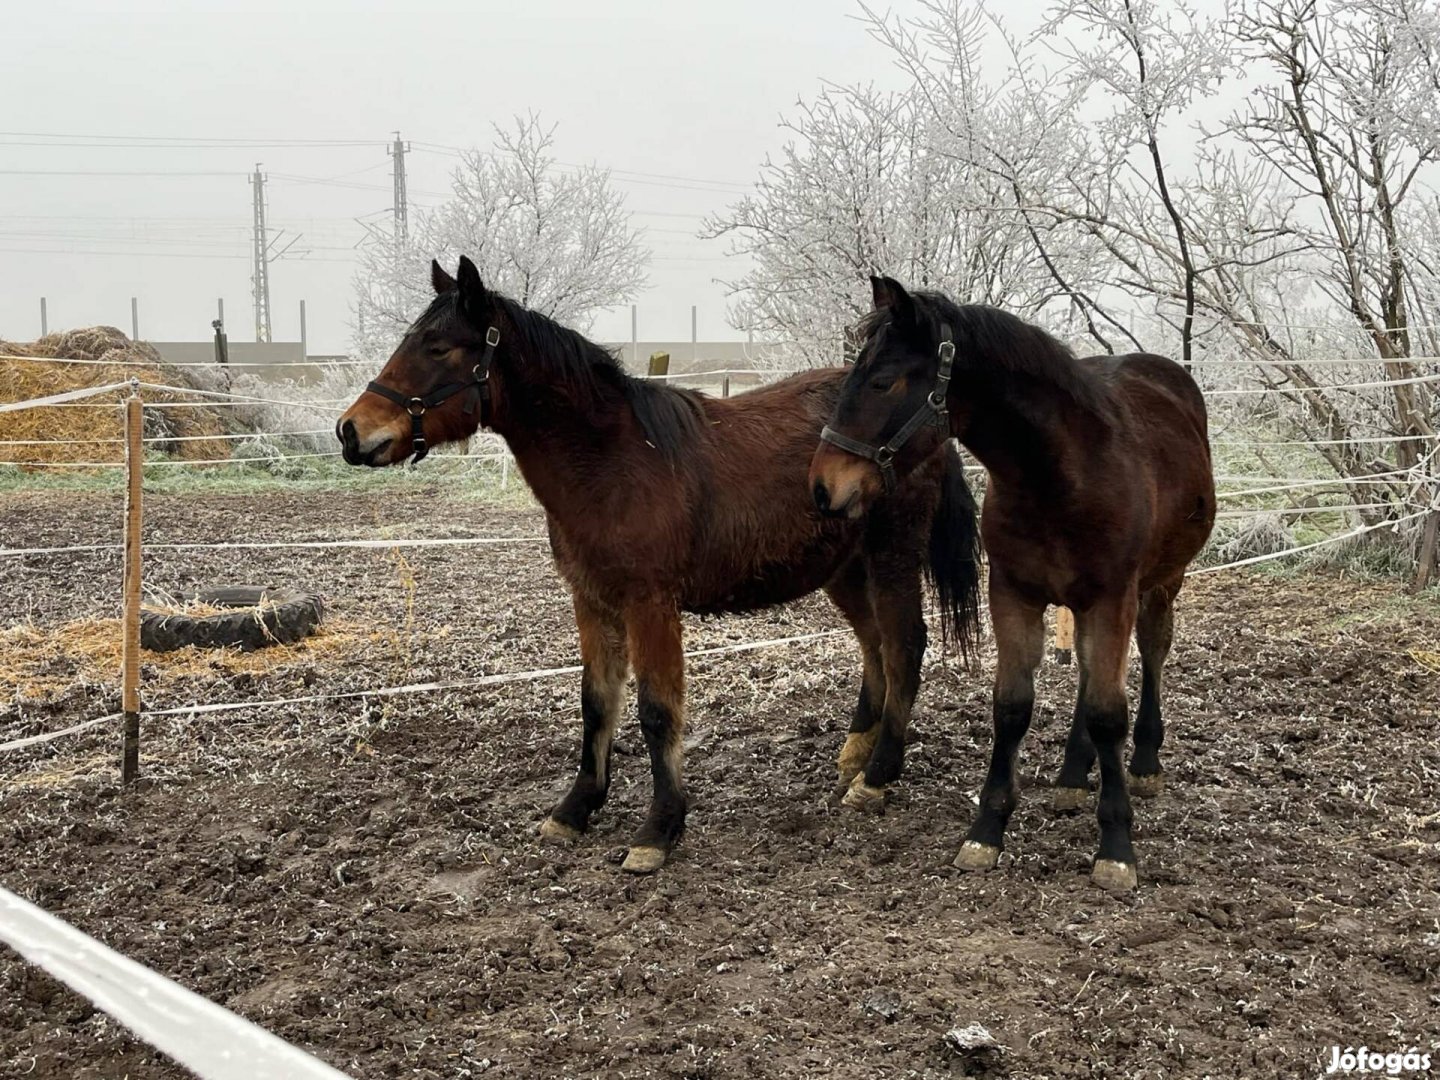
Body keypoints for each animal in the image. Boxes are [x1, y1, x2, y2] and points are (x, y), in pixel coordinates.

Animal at [332, 257, 984, 875]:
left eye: (439, 348)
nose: (350, 431)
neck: (614, 462)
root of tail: (933, 425)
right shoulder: (592, 600)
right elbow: (597, 702)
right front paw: (575, 809)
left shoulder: (649, 605)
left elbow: (655, 711)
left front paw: (659, 829)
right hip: (843, 571)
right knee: (875, 645)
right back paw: (854, 757)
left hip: (890, 557)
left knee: (904, 646)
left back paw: (877, 777)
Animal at [812, 279, 1215, 898]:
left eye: (882, 381)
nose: (822, 487)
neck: (1061, 478)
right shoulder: (1014, 596)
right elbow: (1012, 706)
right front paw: (987, 830)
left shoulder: (1112, 599)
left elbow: (1108, 714)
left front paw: (1116, 847)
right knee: (1088, 677)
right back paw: (1073, 775)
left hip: (1160, 584)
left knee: (1152, 652)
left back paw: (1145, 763)